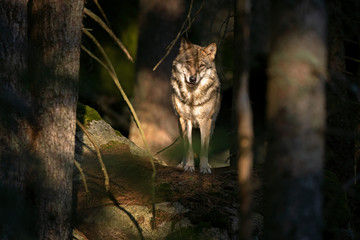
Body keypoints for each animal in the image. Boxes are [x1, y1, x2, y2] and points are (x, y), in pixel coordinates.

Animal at [171, 39, 219, 174]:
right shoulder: (186, 120)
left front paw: (204, 167)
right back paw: (182, 164)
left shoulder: (205, 121)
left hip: (212, 126)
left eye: (201, 65)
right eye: (188, 62)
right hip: (180, 125)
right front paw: (189, 166)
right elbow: (189, 147)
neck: (193, 98)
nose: (192, 79)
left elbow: (204, 148)